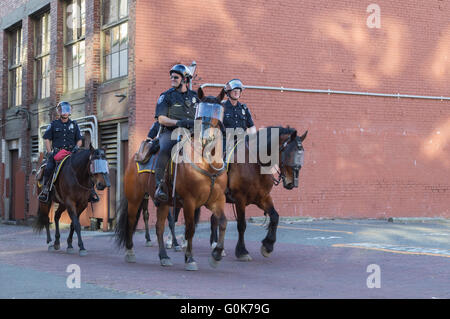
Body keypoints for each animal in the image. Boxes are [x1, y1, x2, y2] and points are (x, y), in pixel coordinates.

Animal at [115, 89, 229, 272]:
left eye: (218, 112)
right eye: (199, 114)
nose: (206, 138)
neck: (207, 166)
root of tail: (135, 157)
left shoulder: (216, 201)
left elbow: (223, 222)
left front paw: (216, 255)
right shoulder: (190, 202)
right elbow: (190, 230)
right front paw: (190, 259)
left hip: (163, 203)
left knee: (159, 227)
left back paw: (164, 256)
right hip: (135, 199)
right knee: (131, 222)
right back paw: (130, 252)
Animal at [210, 126, 308, 262]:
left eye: (302, 153)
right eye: (289, 152)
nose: (292, 182)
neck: (254, 164)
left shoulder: (262, 198)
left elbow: (275, 217)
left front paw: (268, 245)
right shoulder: (240, 199)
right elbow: (241, 225)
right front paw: (242, 251)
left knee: (214, 218)